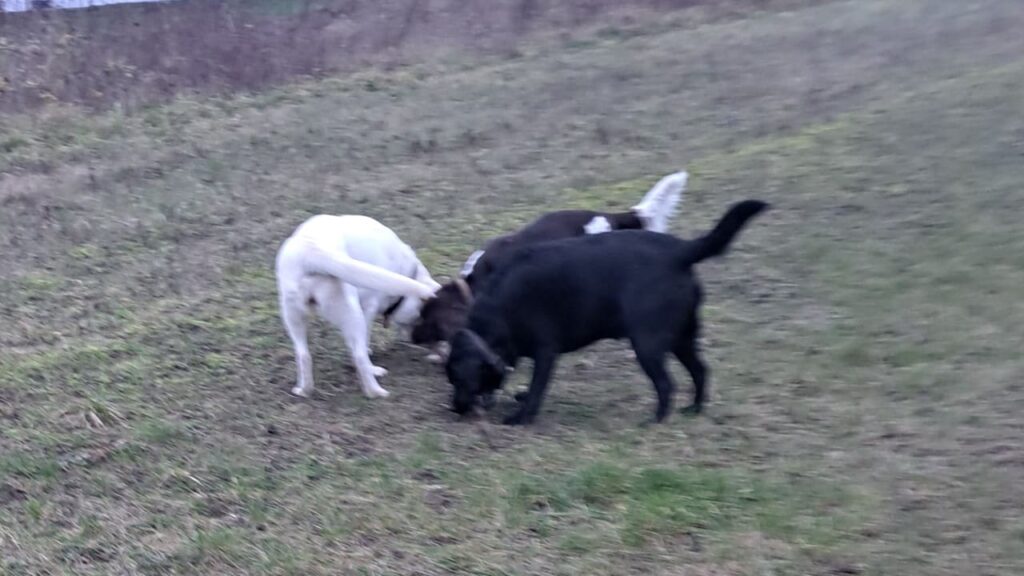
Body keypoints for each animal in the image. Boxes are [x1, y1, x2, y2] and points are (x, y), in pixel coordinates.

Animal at [276, 213, 440, 397]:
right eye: (421, 318)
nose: (416, 341)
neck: (408, 271)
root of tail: (312, 251)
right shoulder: (368, 308)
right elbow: (363, 343)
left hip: (292, 317)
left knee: (303, 355)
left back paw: (304, 390)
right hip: (352, 314)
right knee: (359, 357)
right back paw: (376, 390)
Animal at [444, 199, 765, 424]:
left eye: (461, 380)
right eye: (452, 380)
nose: (455, 408)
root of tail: (680, 252)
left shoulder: (546, 351)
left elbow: (537, 388)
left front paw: (522, 417)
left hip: (647, 344)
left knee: (666, 384)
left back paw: (655, 421)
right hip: (681, 338)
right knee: (700, 371)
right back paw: (694, 409)